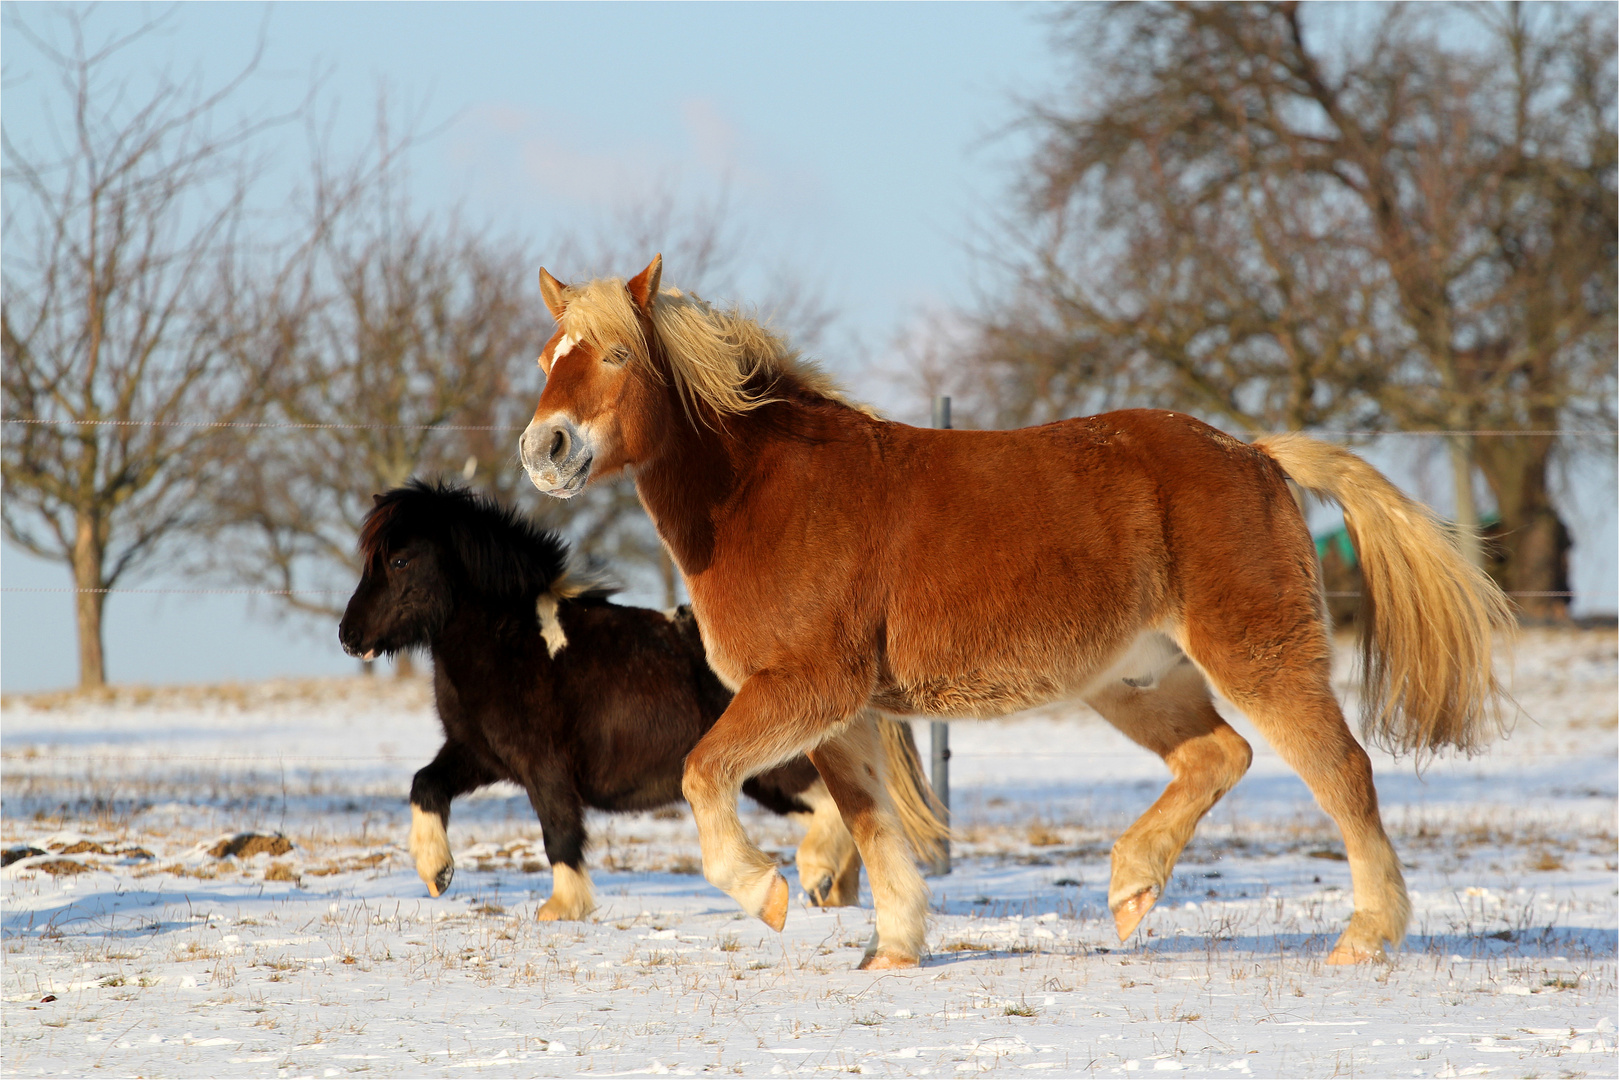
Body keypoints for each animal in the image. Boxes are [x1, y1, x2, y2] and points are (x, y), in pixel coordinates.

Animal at [335, 482, 945, 919]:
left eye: (399, 560)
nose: (348, 636)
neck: (512, 640)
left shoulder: (544, 767)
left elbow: (559, 833)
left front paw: (562, 909)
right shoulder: (479, 755)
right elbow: (425, 784)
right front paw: (436, 873)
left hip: (776, 769)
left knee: (836, 811)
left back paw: (812, 878)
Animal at [521, 255, 1515, 971]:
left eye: (616, 355)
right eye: (546, 362)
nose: (545, 448)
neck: (763, 492)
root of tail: (1256, 456)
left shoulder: (806, 686)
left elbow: (702, 775)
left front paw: (762, 893)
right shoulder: (841, 714)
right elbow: (871, 823)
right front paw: (893, 952)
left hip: (1257, 657)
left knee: (1340, 771)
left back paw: (1363, 937)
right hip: (1136, 681)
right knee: (1217, 756)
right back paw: (1130, 890)